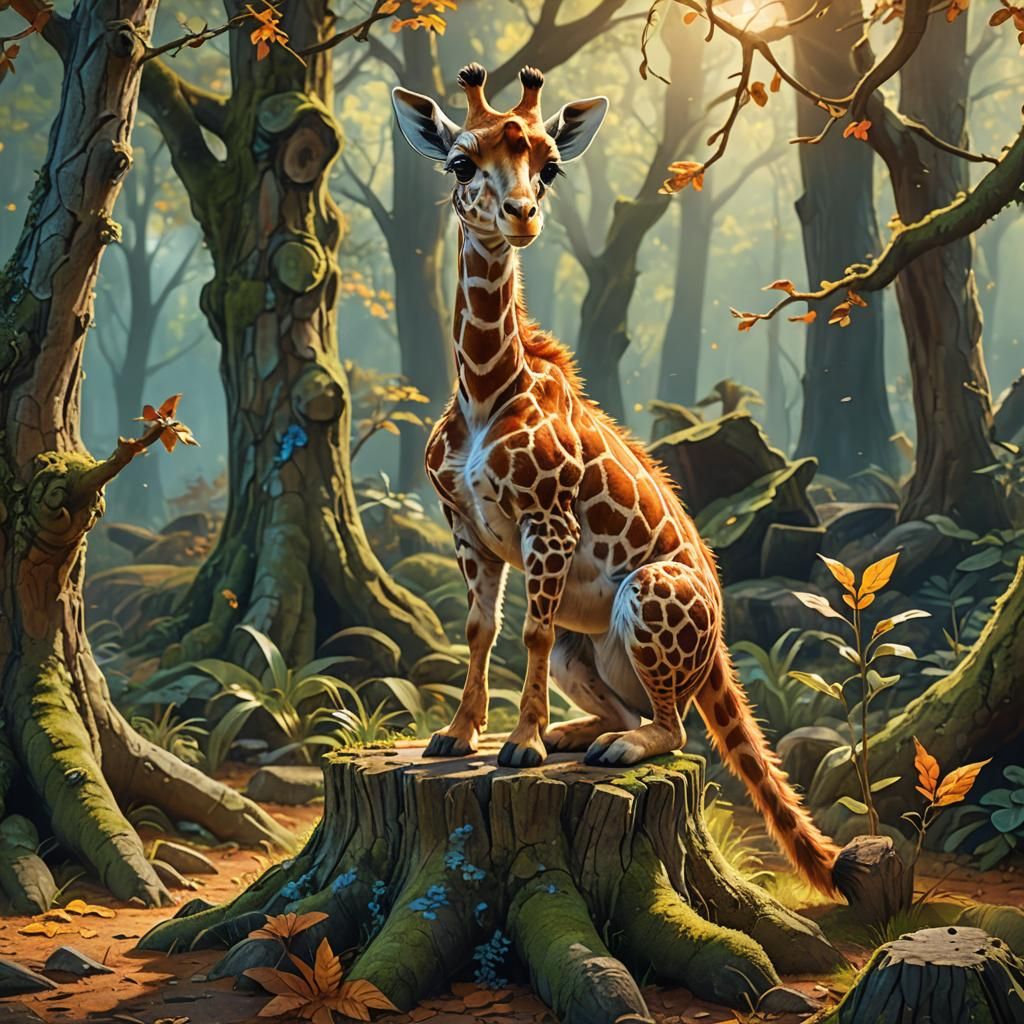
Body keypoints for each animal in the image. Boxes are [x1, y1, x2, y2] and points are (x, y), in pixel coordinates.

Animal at [392, 64, 839, 895]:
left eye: (549, 166)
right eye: (460, 163)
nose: (521, 214)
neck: (483, 390)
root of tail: (720, 648)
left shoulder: (549, 519)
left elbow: (527, 629)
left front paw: (521, 746)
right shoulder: (466, 526)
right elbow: (480, 627)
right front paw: (459, 734)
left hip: (648, 592)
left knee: (674, 728)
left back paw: (597, 745)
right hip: (588, 646)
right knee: (627, 712)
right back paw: (578, 733)